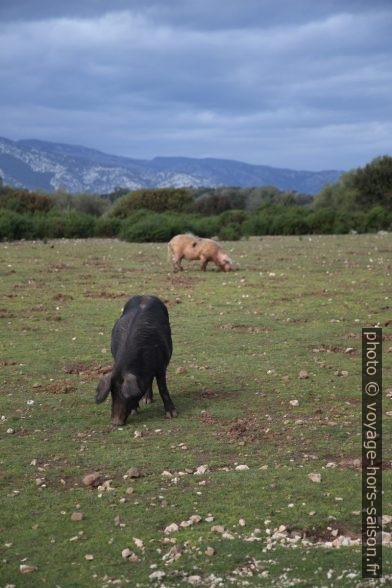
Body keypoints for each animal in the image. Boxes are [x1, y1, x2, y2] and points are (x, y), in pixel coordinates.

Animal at [96, 296, 178, 424]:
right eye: (112, 393)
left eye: (126, 396)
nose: (115, 422)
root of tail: (146, 295)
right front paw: (135, 411)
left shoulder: (161, 365)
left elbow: (162, 387)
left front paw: (172, 415)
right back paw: (147, 401)